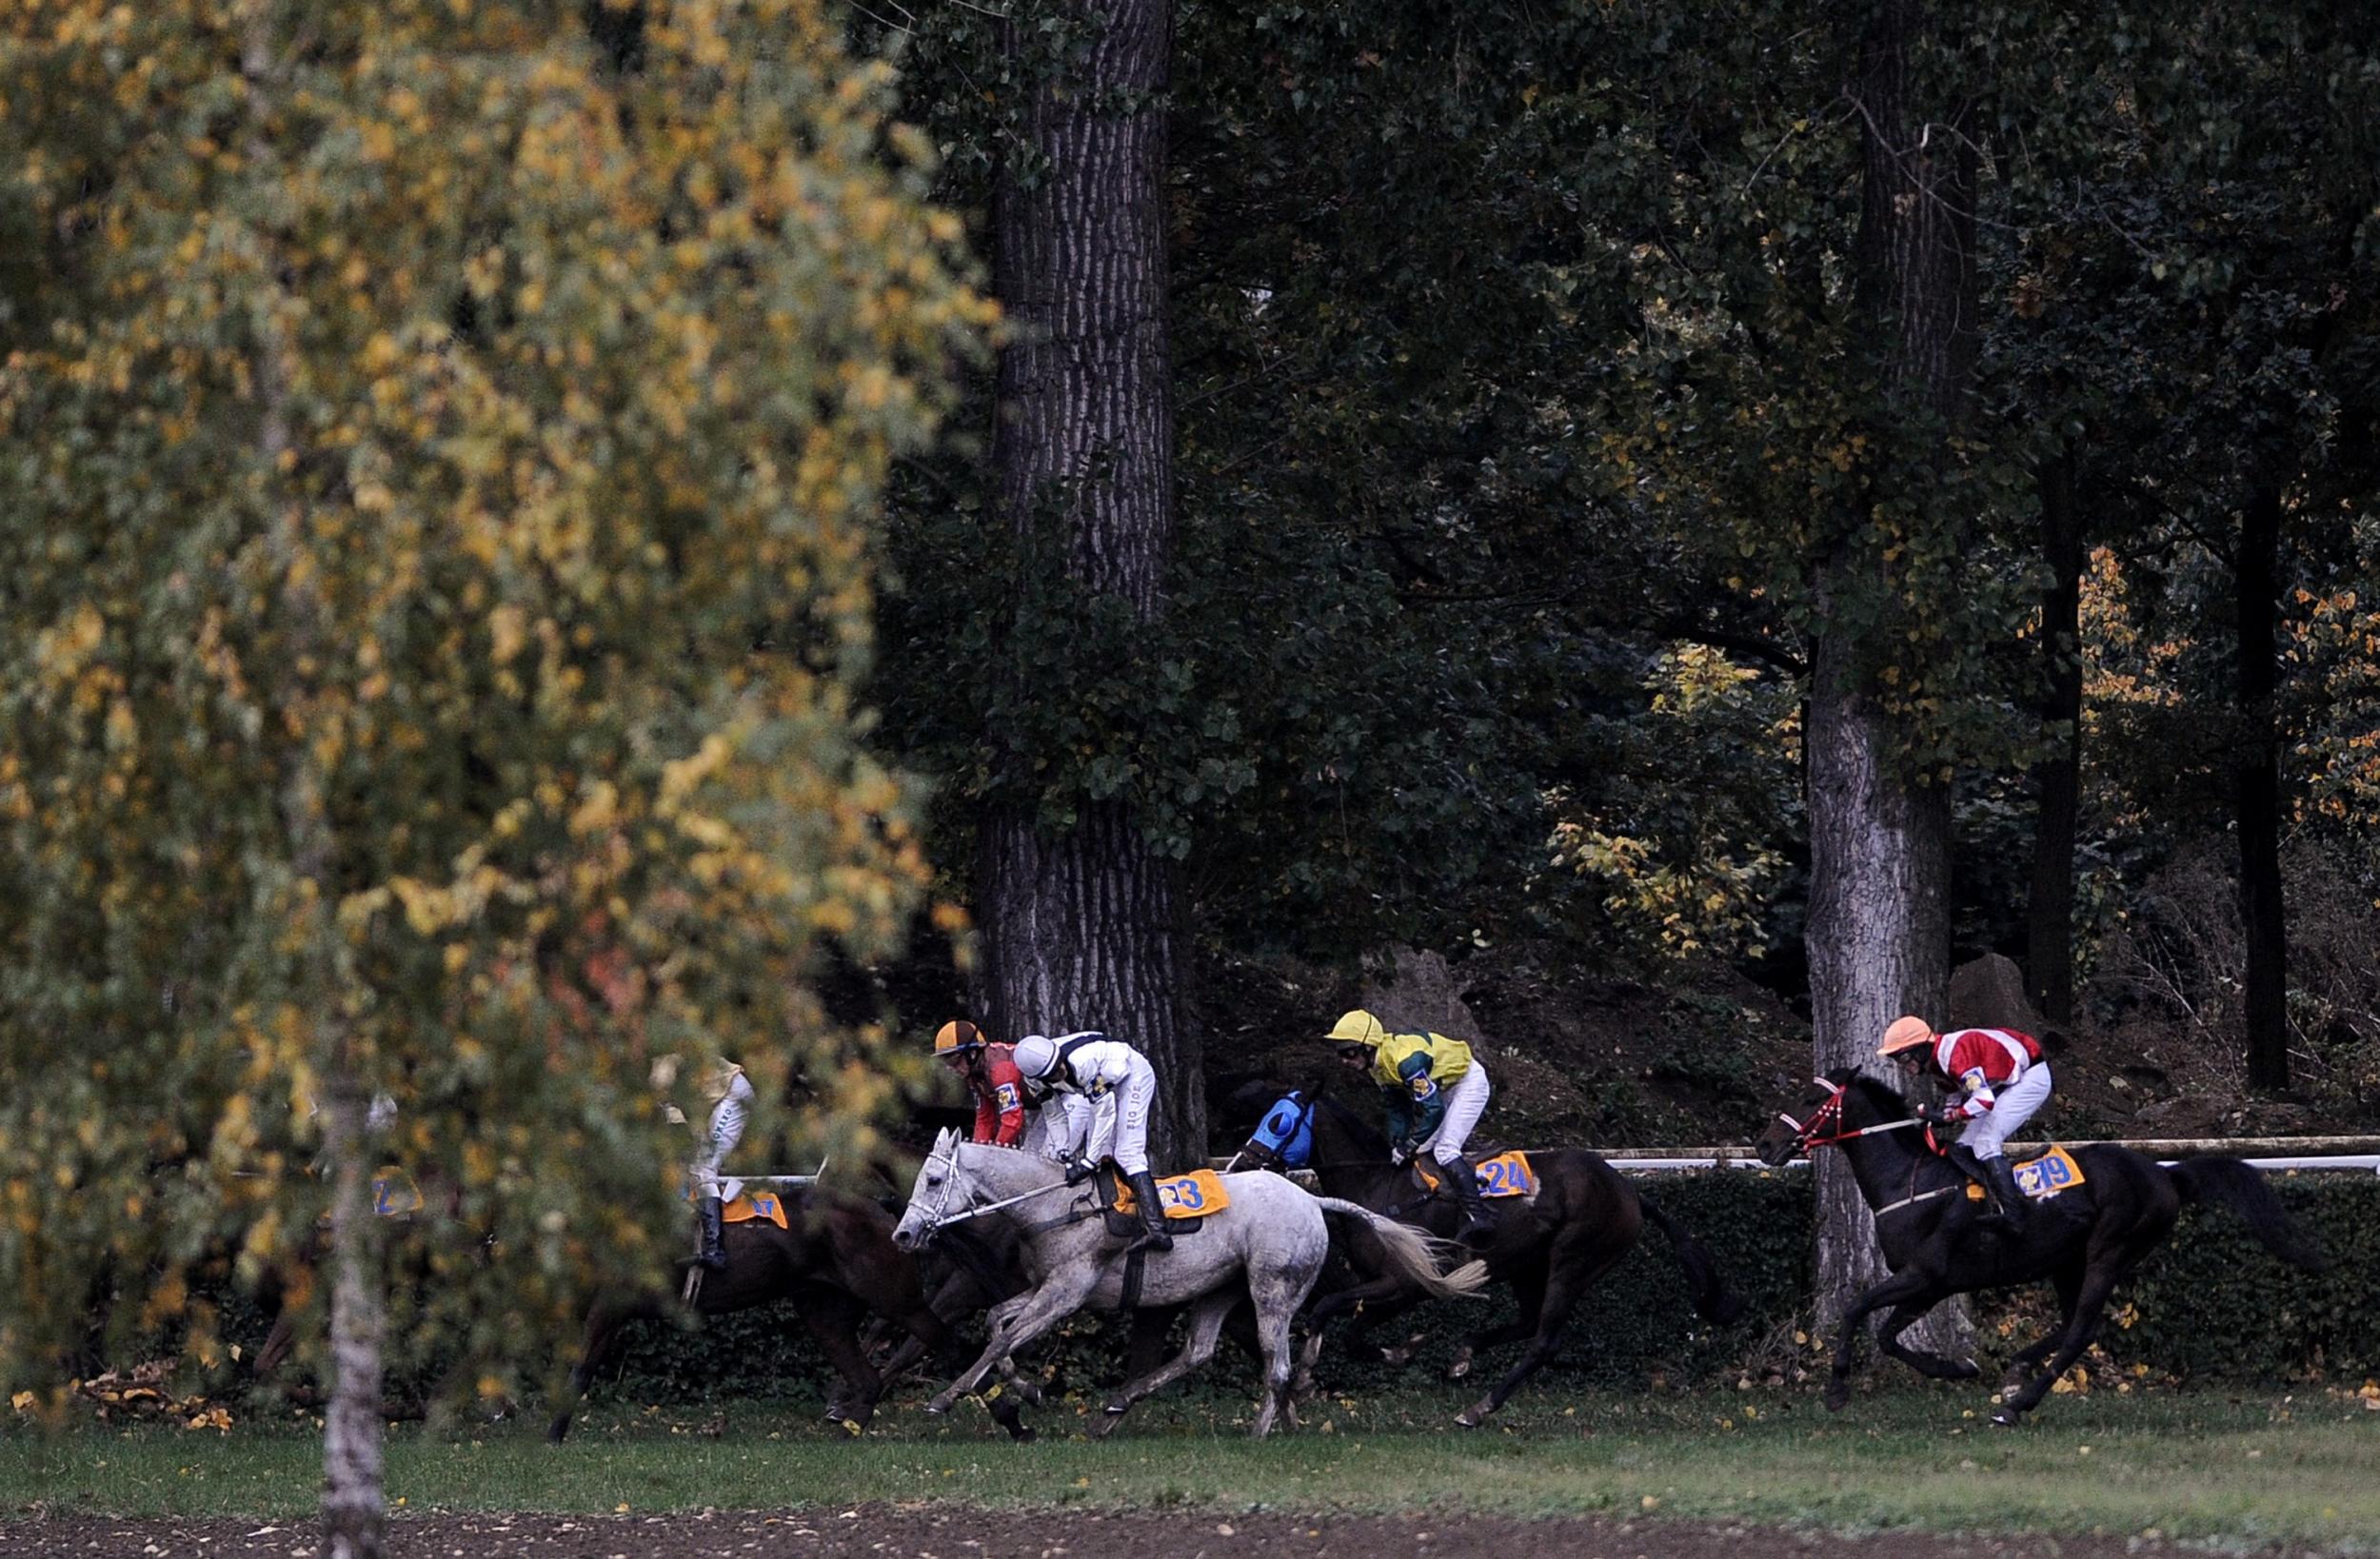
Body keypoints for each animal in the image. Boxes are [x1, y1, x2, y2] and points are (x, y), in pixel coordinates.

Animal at [547, 1190, 1033, 1447]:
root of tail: (887, 1214)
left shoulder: (610, 1305)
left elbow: (581, 1369)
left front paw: (552, 1436)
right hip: (822, 1311)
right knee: (867, 1376)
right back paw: (850, 1426)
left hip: (899, 1300)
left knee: (949, 1346)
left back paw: (1010, 1418)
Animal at [895, 1128, 1485, 1447]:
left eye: (932, 1180)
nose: (903, 1235)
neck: (1055, 1205)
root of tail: (1311, 1198)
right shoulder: (1048, 1288)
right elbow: (999, 1323)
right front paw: (1027, 1390)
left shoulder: (1067, 1292)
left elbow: (1002, 1336)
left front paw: (946, 1397)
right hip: (1218, 1288)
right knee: (1198, 1351)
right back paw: (1120, 1407)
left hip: (1272, 1289)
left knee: (1276, 1362)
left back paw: (1263, 1428)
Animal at [1238, 1090, 1742, 1437]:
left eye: (1278, 1121)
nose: (1243, 1161)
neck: (1378, 1187)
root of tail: (1630, 1191)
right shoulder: (1397, 1290)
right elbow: (1356, 1336)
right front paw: (1403, 1351)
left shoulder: (1403, 1283)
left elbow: (1327, 1310)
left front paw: (1305, 1375)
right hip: (1526, 1266)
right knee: (1527, 1321)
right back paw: (1464, 1355)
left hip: (1573, 1261)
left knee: (1544, 1340)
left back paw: (1478, 1408)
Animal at [1752, 1076, 2323, 1428]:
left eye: (1809, 1099)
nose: (1764, 1145)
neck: (1909, 1181)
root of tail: (2167, 1174)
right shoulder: (1931, 1285)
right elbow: (1889, 1337)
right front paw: (1958, 1369)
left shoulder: (1924, 1274)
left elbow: (1856, 1310)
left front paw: (1836, 1389)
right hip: (2067, 1262)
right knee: (2069, 1325)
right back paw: (2017, 1371)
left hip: (2109, 1252)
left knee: (2082, 1331)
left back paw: (2018, 1404)